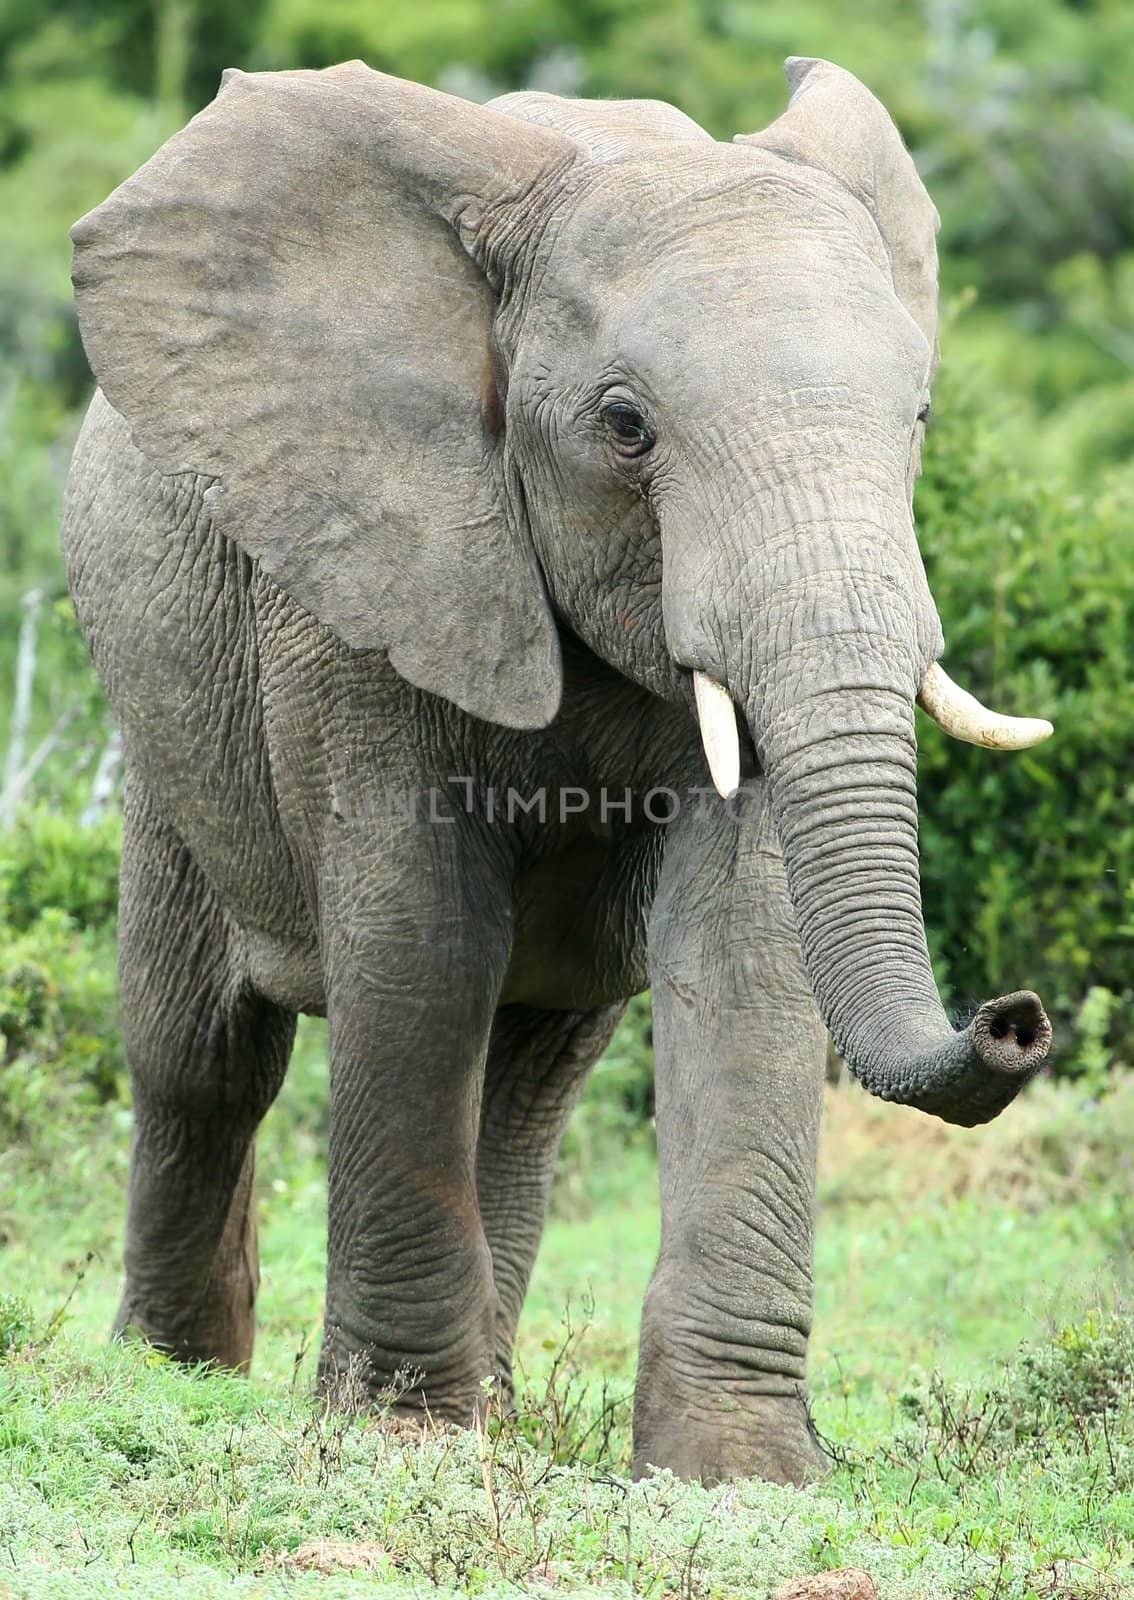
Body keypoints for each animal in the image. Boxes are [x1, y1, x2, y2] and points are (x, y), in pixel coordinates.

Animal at [61, 56, 1055, 1491]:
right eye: (625, 426)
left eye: (916, 416)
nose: (1015, 1017)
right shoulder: (366, 565)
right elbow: (419, 943)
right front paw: (399, 1439)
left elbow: (742, 946)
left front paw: (737, 1475)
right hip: (161, 710)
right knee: (203, 1056)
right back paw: (176, 1372)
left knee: (525, 1092)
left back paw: (494, 1406)